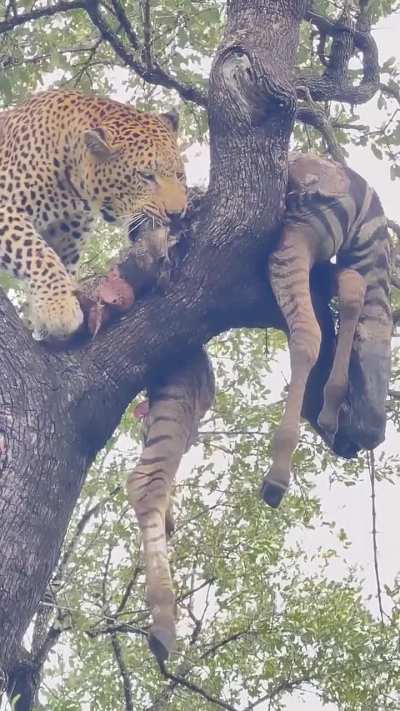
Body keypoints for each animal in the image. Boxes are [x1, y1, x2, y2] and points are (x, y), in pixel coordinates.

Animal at [0, 90, 187, 340]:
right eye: (146, 176)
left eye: (179, 175)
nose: (178, 214)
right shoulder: (5, 206)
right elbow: (35, 252)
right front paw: (59, 307)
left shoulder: (66, 241)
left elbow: (59, 264)